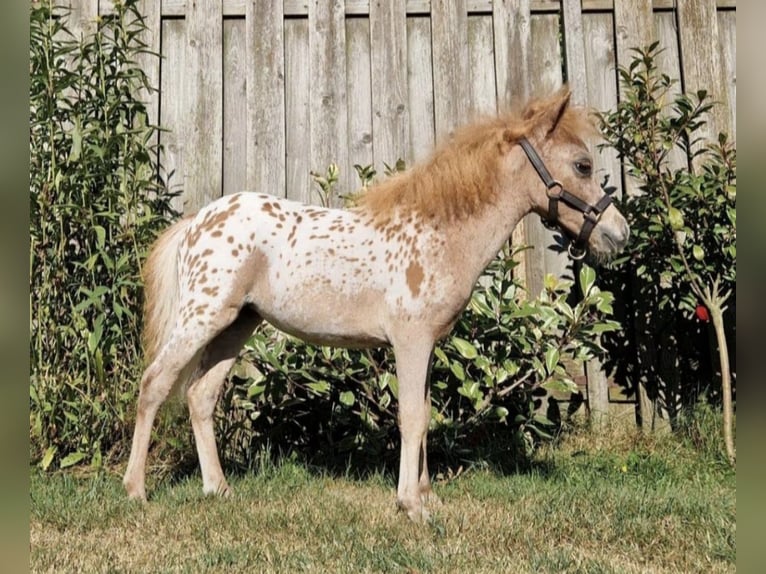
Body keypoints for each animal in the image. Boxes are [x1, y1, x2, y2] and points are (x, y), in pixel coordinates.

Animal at [123, 88, 629, 522]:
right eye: (583, 165)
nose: (618, 234)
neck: (437, 234)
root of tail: (197, 222)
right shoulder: (410, 341)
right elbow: (411, 417)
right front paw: (412, 506)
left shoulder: (426, 346)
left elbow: (424, 413)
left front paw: (428, 497)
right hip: (201, 317)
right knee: (155, 384)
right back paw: (136, 491)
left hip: (236, 324)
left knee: (200, 395)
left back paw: (218, 489)